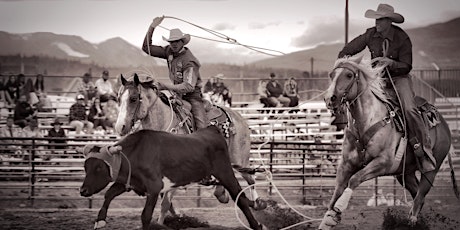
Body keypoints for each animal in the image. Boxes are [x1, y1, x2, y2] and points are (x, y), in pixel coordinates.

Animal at [115, 73, 266, 225]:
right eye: (118, 98)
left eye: (133, 99)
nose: (120, 127)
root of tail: (239, 117)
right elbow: (166, 202)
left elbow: (165, 204)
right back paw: (223, 194)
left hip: (240, 158)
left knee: (250, 179)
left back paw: (258, 203)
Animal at [318, 54, 458, 229]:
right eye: (331, 75)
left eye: (349, 75)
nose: (330, 99)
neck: (367, 122)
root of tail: (444, 125)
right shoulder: (346, 164)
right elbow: (338, 189)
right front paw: (328, 219)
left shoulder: (383, 163)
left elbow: (354, 179)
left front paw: (339, 207)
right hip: (405, 173)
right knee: (418, 195)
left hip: (432, 169)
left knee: (420, 196)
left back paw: (410, 221)